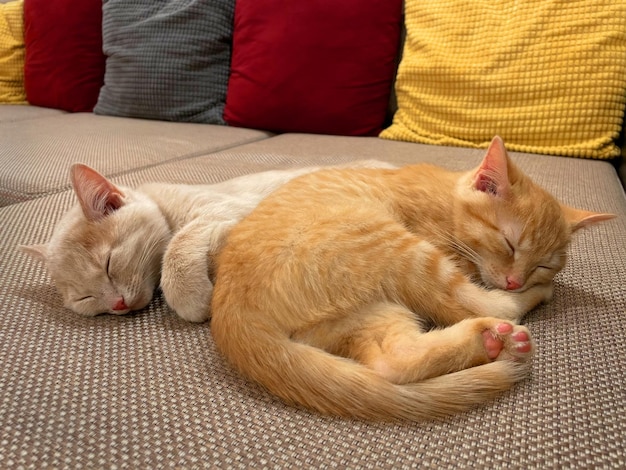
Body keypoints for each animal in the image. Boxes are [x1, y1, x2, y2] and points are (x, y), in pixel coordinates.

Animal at [22, 160, 392, 322]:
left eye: (110, 265)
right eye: (84, 298)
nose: (117, 305)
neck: (164, 204)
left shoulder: (223, 208)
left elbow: (178, 248)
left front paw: (194, 299)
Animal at [211, 137, 616, 422]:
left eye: (544, 264)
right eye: (509, 243)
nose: (519, 280)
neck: (446, 202)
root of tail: (231, 316)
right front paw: (527, 287)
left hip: (367, 313)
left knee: (392, 363)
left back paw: (489, 343)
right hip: (400, 248)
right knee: (486, 306)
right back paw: (513, 316)